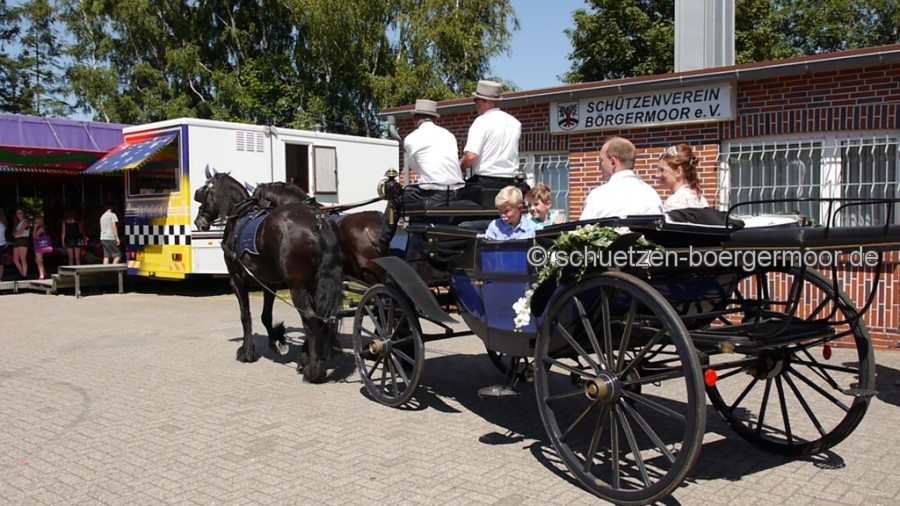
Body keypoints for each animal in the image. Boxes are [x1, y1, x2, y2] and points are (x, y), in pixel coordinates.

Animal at [194, 171, 344, 383]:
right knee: (322, 318)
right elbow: (266, 316)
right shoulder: (269, 283)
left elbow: (245, 315)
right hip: (316, 285)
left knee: (311, 319)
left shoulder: (237, 280)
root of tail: (319, 221)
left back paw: (313, 370)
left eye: (204, 192)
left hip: (297, 287)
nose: (198, 221)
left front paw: (247, 352)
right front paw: (277, 338)